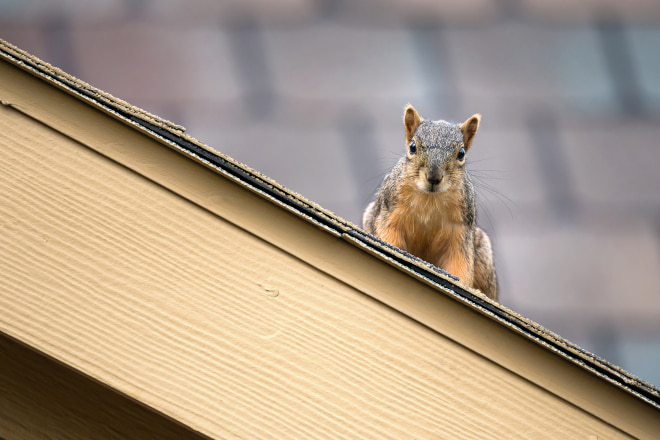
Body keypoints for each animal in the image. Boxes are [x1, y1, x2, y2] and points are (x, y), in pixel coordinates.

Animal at [364, 105, 498, 300]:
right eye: (412, 147)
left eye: (461, 154)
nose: (434, 177)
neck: (430, 199)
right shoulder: (389, 213)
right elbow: (389, 237)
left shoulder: (460, 230)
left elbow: (459, 263)